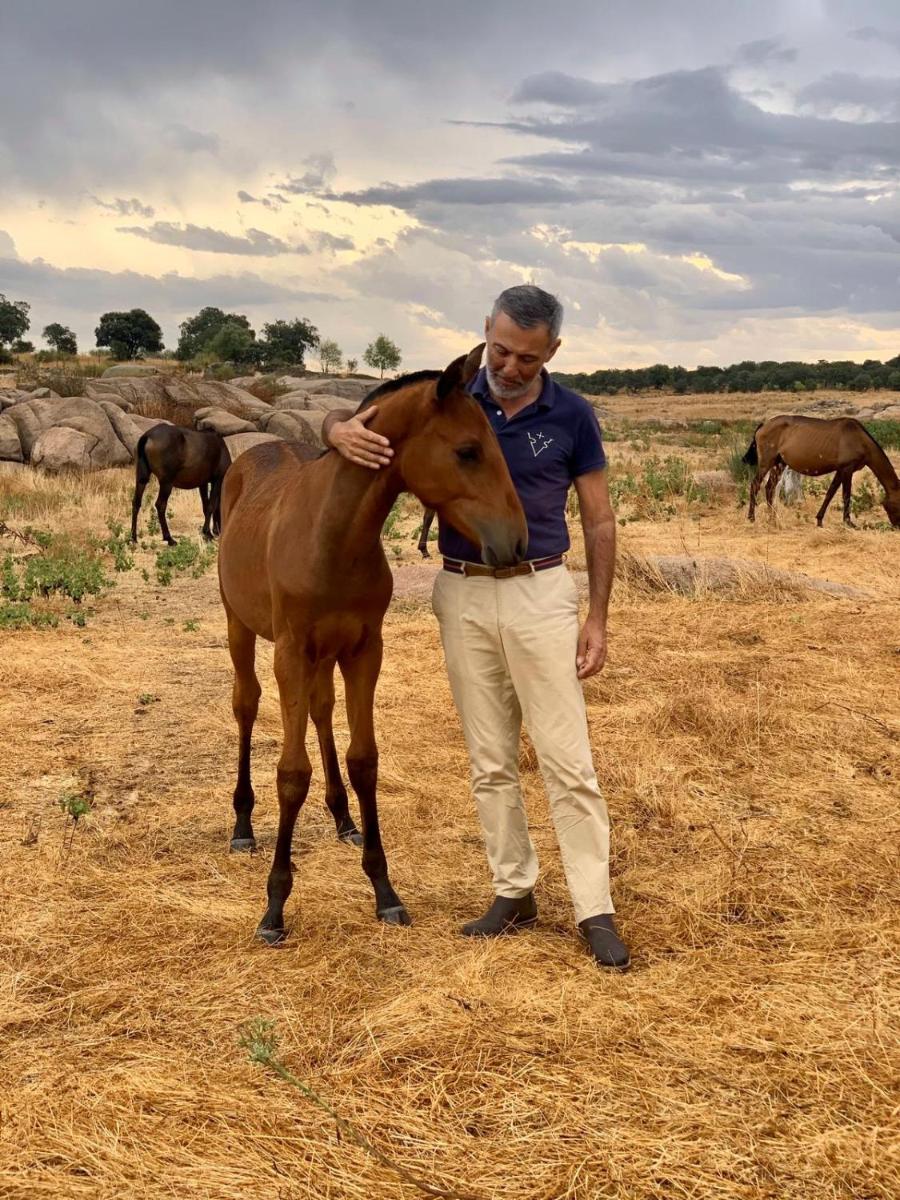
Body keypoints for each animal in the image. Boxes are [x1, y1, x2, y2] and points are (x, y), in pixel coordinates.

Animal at [217, 345, 528, 944]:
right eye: (468, 450)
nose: (517, 541)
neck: (333, 537)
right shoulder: (290, 653)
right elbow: (291, 773)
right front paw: (275, 905)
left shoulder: (364, 651)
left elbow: (364, 760)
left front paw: (384, 890)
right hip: (240, 627)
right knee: (246, 705)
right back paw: (242, 822)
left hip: (325, 656)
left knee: (321, 711)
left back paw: (343, 819)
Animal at [743, 415, 900, 528]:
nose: (897, 526)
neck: (860, 439)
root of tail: (763, 425)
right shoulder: (847, 469)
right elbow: (846, 495)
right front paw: (848, 523)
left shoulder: (840, 470)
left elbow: (830, 493)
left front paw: (819, 520)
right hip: (766, 462)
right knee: (755, 485)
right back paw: (751, 518)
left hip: (779, 463)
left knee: (769, 487)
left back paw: (773, 519)